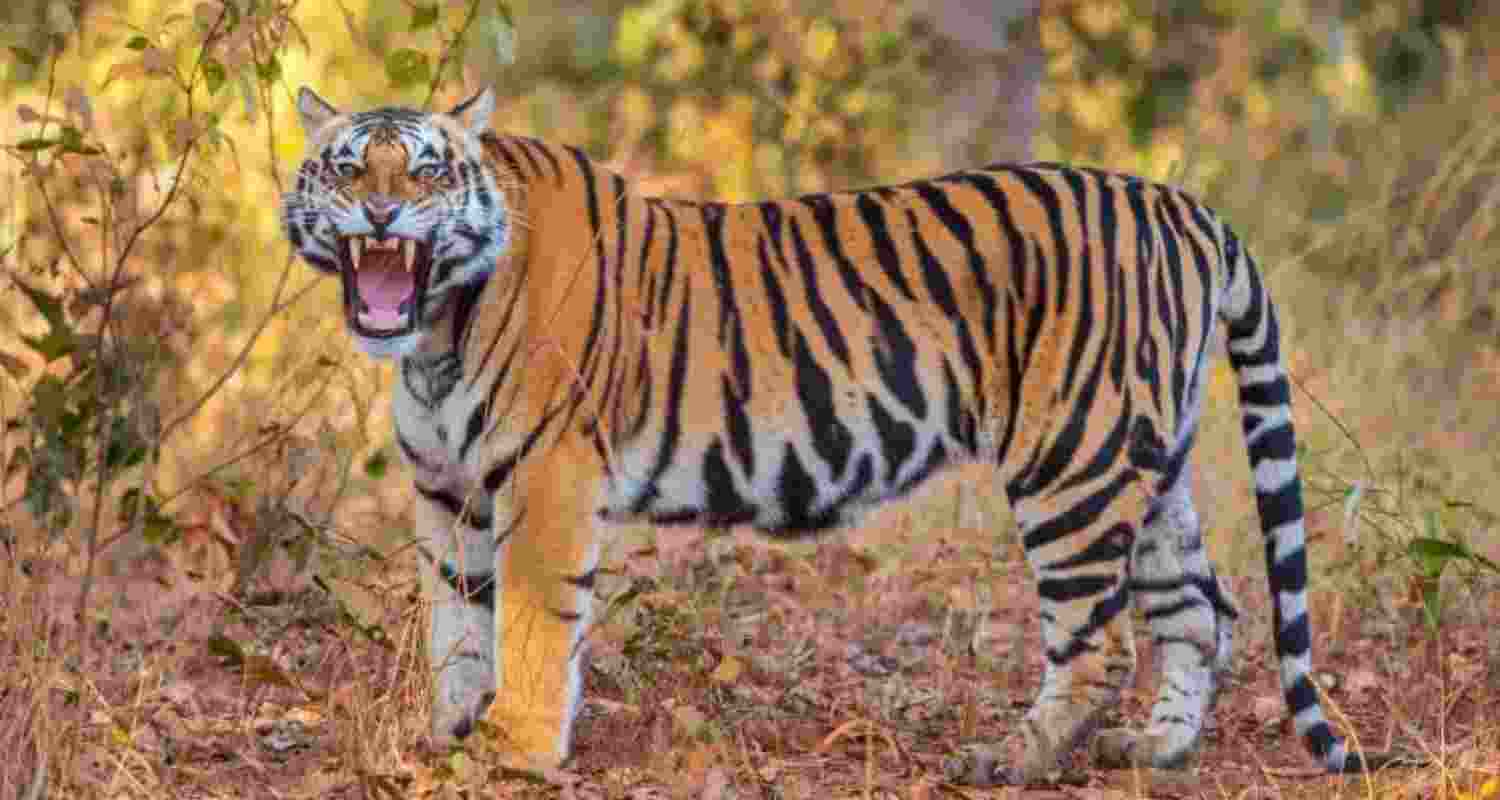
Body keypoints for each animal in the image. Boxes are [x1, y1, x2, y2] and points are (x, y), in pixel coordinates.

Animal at [280, 86, 1395, 784]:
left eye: (426, 173)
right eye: (349, 169)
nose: (381, 212)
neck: (433, 332)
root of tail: (1182, 206)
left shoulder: (546, 473)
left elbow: (528, 621)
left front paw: (513, 748)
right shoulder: (446, 486)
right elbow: (456, 625)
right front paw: (450, 731)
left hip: (1070, 459)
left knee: (1101, 638)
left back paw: (1014, 760)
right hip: (1148, 457)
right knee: (1201, 607)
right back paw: (1154, 752)